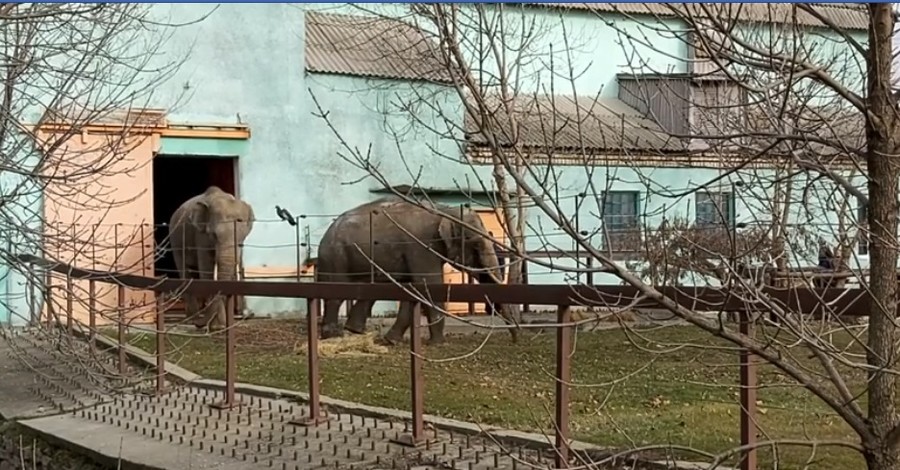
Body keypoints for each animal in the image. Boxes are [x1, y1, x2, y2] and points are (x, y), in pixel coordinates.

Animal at [169, 185, 255, 328]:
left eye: (241, 241)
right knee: (185, 271)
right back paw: (191, 319)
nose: (199, 324)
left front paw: (222, 325)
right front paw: (216, 326)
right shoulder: (200, 234)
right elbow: (207, 268)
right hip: (175, 240)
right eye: (214, 235)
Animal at [316, 196, 520, 344]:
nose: (515, 340)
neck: (444, 210)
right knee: (336, 294)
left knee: (366, 291)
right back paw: (333, 336)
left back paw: (353, 331)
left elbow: (413, 291)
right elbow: (430, 285)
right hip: (336, 255)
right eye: (476, 244)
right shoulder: (421, 246)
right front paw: (438, 344)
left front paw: (391, 341)